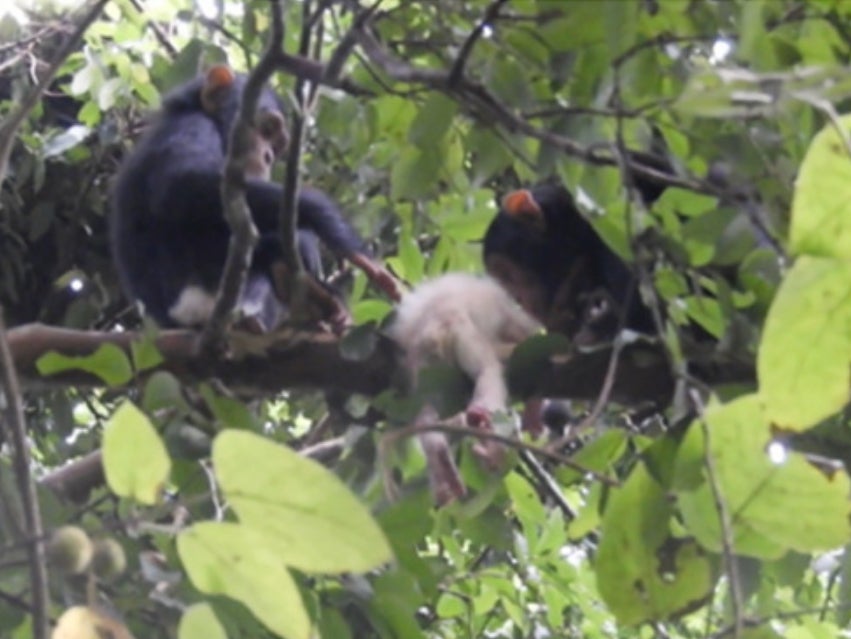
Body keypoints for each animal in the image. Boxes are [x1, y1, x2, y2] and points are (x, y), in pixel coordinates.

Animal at [110, 65, 400, 332]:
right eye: (267, 128)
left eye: (277, 146)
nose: (268, 156)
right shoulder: (193, 129)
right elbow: (180, 186)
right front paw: (341, 236)